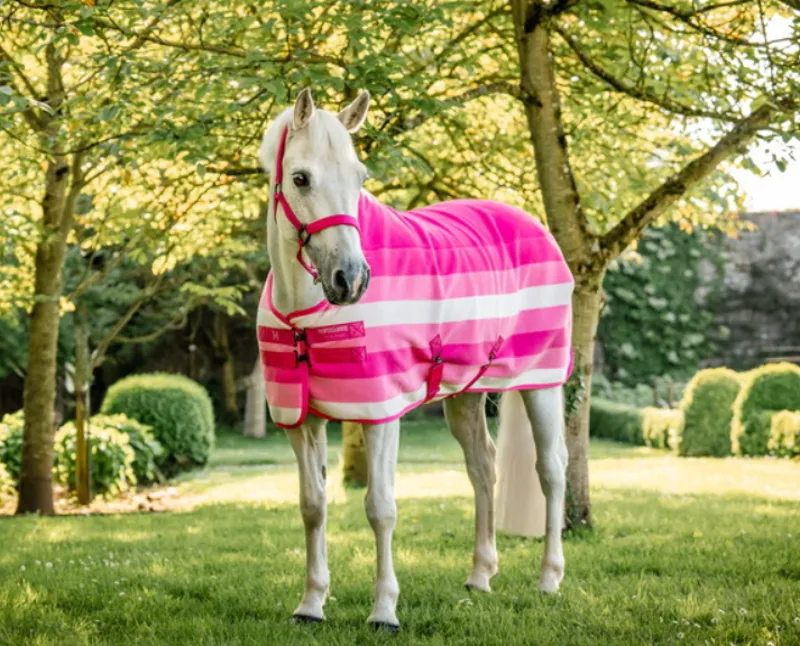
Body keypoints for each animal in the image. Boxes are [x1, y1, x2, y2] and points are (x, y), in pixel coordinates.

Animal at [256, 88, 572, 631]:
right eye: (300, 178)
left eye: (360, 177)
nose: (351, 279)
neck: (305, 313)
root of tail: (533, 222)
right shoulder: (301, 419)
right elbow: (312, 506)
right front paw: (311, 603)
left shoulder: (380, 413)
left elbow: (380, 507)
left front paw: (384, 610)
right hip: (465, 394)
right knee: (483, 467)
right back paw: (480, 575)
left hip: (542, 383)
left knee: (551, 469)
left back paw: (549, 578)